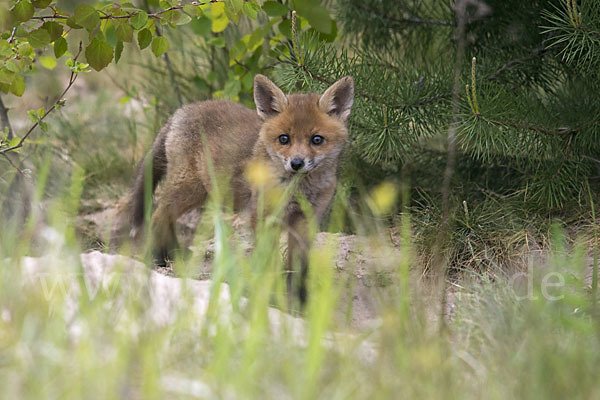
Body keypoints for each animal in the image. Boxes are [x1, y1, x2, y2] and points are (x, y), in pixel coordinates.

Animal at [125, 75, 352, 304]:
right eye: (284, 139)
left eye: (317, 140)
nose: (297, 163)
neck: (298, 191)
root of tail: (181, 111)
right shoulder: (261, 218)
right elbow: (268, 263)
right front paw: (270, 294)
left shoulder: (305, 221)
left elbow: (299, 268)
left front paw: (300, 300)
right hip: (188, 189)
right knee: (158, 215)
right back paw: (158, 258)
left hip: (202, 192)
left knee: (167, 217)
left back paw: (173, 255)